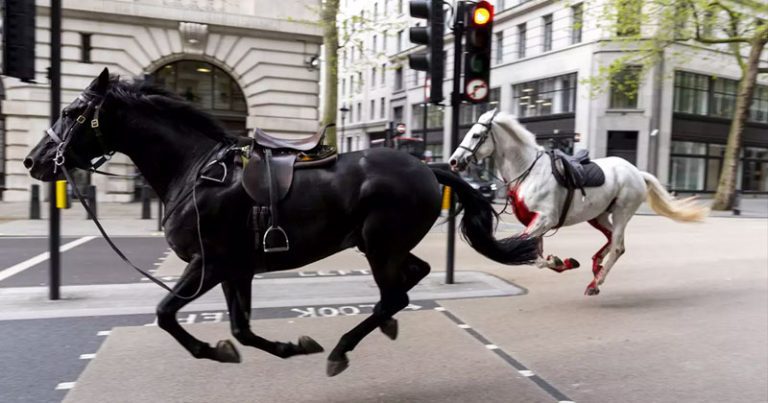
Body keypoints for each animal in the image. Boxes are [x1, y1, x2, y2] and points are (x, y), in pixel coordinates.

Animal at [24, 68, 536, 376]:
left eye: (71, 112)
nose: (34, 161)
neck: (194, 171)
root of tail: (427, 168)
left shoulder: (209, 264)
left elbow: (167, 313)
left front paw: (213, 351)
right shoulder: (236, 269)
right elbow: (241, 329)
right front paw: (286, 347)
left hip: (379, 245)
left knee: (396, 293)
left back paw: (343, 348)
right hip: (380, 245)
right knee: (411, 279)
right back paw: (381, 326)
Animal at [450, 110, 708, 296]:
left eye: (476, 135)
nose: (453, 161)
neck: (528, 171)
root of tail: (636, 172)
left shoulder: (544, 219)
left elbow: (526, 253)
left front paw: (558, 261)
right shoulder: (536, 222)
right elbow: (534, 254)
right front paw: (561, 262)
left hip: (622, 212)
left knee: (617, 246)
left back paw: (596, 282)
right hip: (599, 215)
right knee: (612, 240)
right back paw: (596, 267)